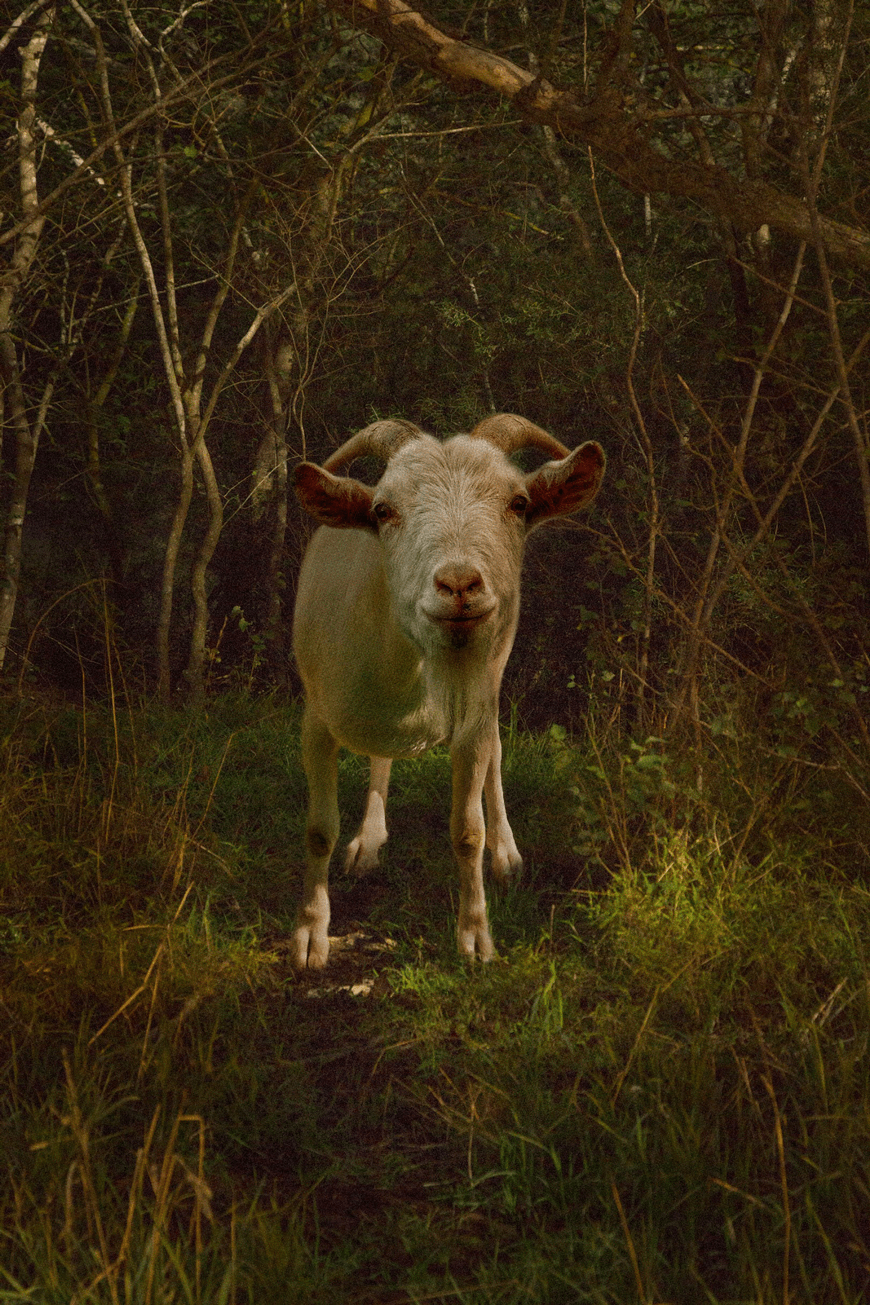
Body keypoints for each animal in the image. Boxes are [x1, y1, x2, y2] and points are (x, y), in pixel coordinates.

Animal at [291, 413, 605, 969]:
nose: (459, 584)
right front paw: (311, 934)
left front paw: (476, 938)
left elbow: (467, 830)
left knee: (497, 753)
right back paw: (369, 841)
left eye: (518, 502)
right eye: (382, 510)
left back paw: (507, 854)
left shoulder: (473, 719)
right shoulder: (317, 721)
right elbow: (319, 829)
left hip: (495, 671)